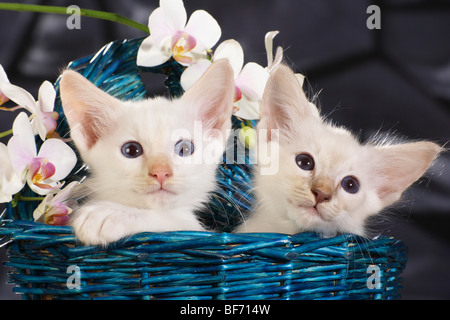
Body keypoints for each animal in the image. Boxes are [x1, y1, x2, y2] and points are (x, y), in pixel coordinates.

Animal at [59, 59, 236, 245]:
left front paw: (110, 214)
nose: (161, 172)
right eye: (131, 150)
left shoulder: (190, 229)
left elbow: (172, 221)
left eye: (184, 149)